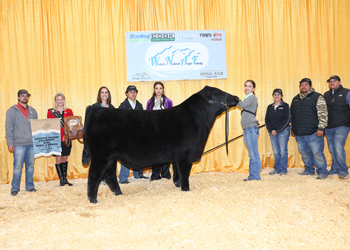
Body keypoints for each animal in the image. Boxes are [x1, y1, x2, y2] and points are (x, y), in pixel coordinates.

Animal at [83, 86, 239, 203]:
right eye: (219, 93)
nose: (237, 97)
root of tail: (95, 109)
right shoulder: (185, 156)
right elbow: (185, 174)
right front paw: (186, 189)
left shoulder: (177, 157)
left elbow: (177, 173)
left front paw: (177, 184)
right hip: (100, 156)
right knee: (94, 175)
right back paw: (93, 199)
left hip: (111, 157)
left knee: (109, 175)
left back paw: (118, 193)